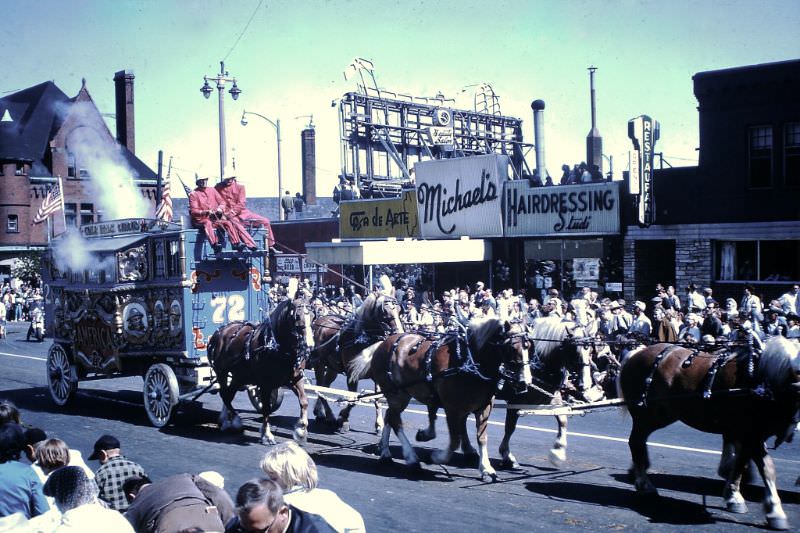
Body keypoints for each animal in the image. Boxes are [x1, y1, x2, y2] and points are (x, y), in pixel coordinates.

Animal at [206, 286, 316, 444]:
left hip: (239, 376)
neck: (276, 346)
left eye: (313, 317)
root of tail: (219, 332)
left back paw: (226, 420)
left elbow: (304, 401)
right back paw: (235, 421)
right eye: (297, 317)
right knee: (225, 395)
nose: (309, 345)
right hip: (222, 372)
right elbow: (266, 409)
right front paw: (267, 434)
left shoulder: (295, 378)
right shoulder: (265, 384)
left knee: (228, 394)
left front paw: (301, 430)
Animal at [310, 290, 404, 432]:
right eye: (384, 311)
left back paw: (321, 413)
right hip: (319, 364)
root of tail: (320, 320)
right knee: (320, 387)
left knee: (325, 386)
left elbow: (377, 398)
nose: (399, 333)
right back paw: (328, 416)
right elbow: (353, 398)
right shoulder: (351, 374)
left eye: (399, 310)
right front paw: (343, 419)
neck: (364, 339)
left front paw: (379, 424)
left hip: (332, 367)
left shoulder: (376, 375)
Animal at [348, 318, 532, 480]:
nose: (525, 382)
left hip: (399, 395)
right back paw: (411, 459)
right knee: (395, 420)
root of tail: (382, 343)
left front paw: (487, 469)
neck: (469, 361)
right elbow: (455, 441)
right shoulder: (453, 408)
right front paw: (436, 457)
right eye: (512, 347)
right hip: (397, 394)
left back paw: (386, 454)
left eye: (529, 346)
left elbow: (482, 438)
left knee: (390, 417)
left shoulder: (485, 406)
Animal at [620, 336, 800, 528]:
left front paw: (734, 495)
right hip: (648, 415)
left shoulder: (748, 435)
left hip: (660, 416)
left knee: (640, 442)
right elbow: (767, 468)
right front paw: (774, 510)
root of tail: (636, 353)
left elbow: (742, 464)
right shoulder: (752, 435)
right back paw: (644, 484)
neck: (762, 381)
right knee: (636, 441)